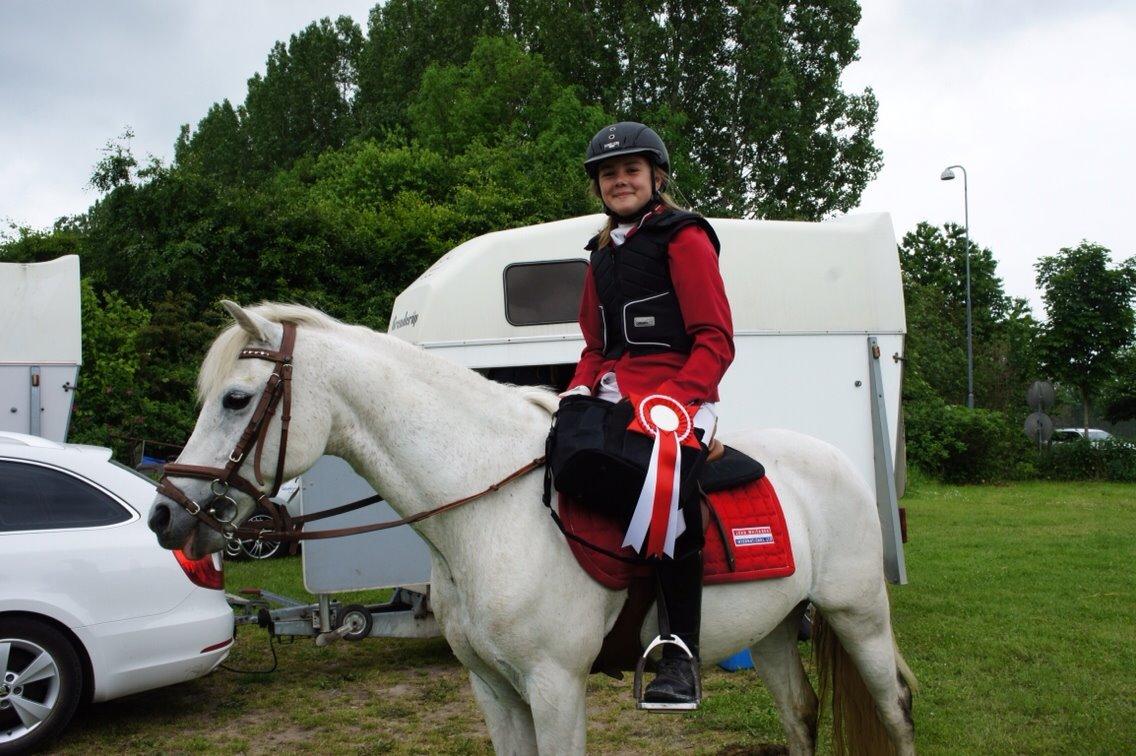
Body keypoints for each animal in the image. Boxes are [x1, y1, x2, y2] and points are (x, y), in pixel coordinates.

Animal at [148, 301, 916, 755]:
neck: (487, 512)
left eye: (236, 398)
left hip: (859, 615)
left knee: (897, 708)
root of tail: (842, 462)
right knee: (799, 714)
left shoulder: (555, 686)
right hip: (778, 628)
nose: (166, 513)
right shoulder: (492, 688)